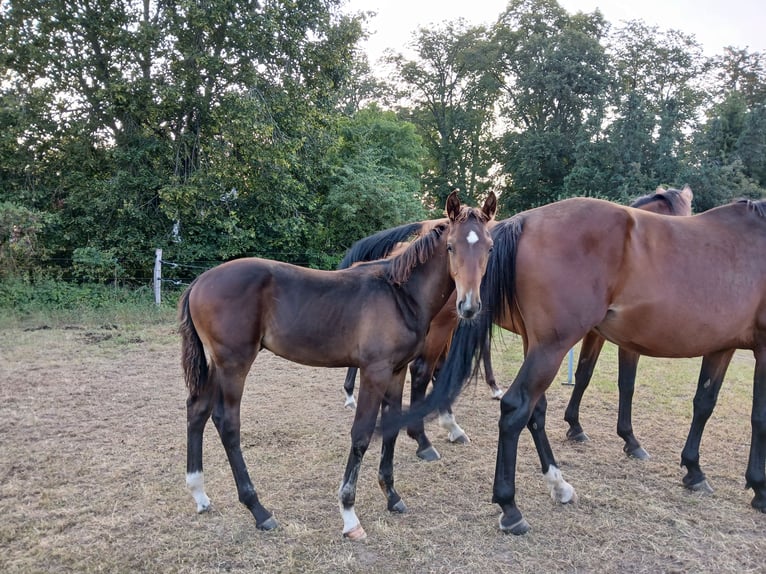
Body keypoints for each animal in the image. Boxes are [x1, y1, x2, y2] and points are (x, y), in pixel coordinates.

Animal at [178, 191, 498, 544]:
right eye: (452, 246)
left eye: (489, 247)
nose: (468, 306)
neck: (400, 293)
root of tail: (198, 281)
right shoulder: (374, 372)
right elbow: (361, 434)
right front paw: (349, 514)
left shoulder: (397, 370)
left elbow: (391, 426)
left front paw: (392, 496)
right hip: (234, 363)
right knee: (226, 421)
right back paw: (259, 510)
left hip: (216, 364)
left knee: (197, 409)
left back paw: (199, 494)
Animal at [390, 197, 766, 536]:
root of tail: (525, 221)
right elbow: (757, 418)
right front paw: (758, 487)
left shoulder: (721, 346)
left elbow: (703, 403)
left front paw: (693, 469)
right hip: (524, 341)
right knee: (503, 402)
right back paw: (506, 504)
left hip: (533, 343)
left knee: (531, 409)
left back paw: (556, 483)